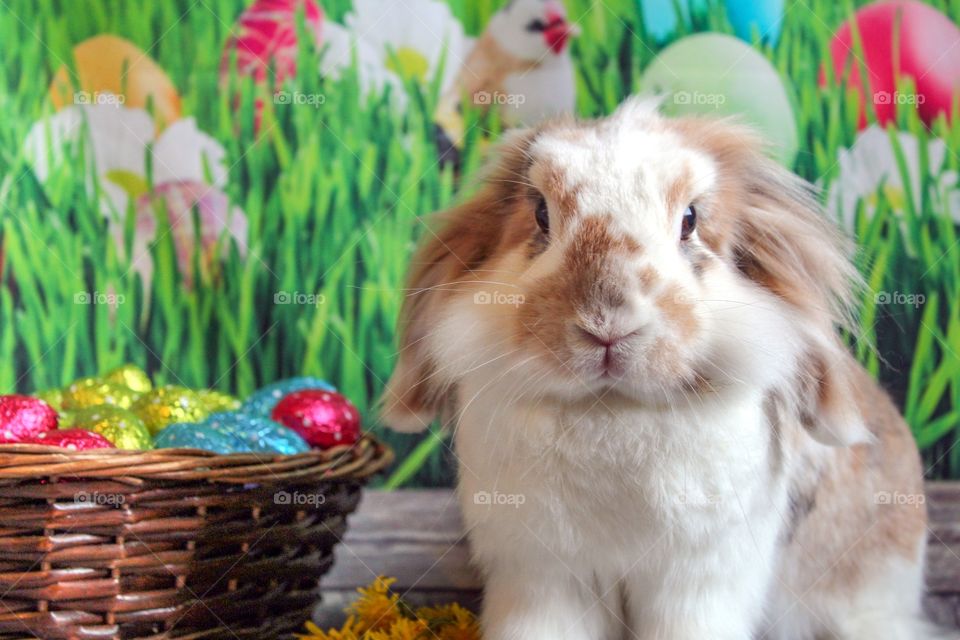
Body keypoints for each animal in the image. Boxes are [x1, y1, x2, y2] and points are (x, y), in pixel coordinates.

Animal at [380, 98, 943, 640]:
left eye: (690, 220)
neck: (612, 410)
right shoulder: (544, 579)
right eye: (540, 213)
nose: (607, 325)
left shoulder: (698, 585)